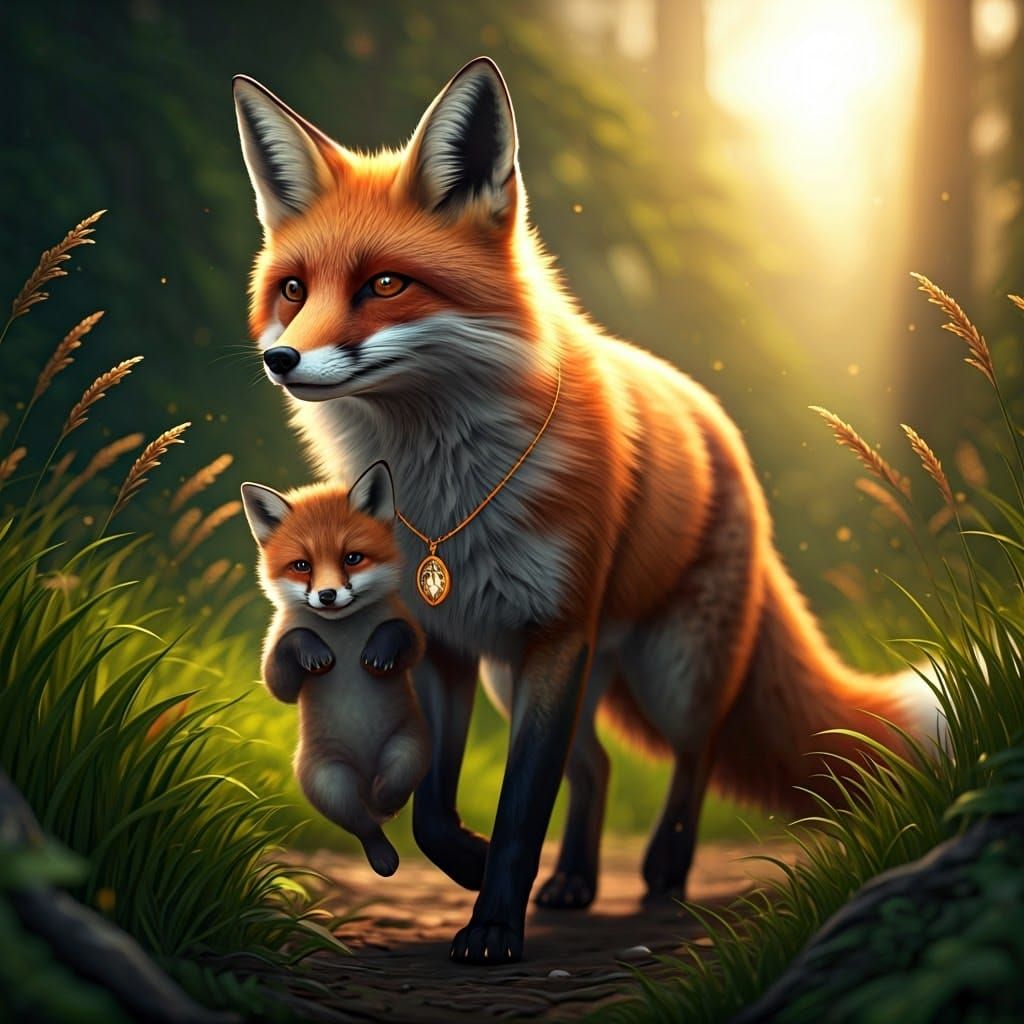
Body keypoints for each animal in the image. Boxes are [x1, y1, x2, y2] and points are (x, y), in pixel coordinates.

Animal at [240, 461, 429, 877]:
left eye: (352, 558)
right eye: (302, 566)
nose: (327, 595)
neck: (342, 631)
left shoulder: (412, 632)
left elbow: (400, 635)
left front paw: (378, 651)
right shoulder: (276, 656)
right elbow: (284, 667)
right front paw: (314, 652)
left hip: (408, 748)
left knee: (391, 788)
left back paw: (383, 799)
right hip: (327, 781)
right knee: (362, 824)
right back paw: (383, 856)